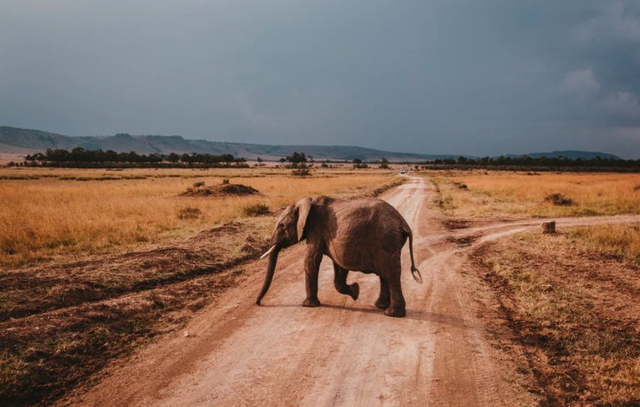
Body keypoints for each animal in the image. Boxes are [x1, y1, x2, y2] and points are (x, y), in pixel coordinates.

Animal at [255, 197, 420, 318]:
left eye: (281, 226)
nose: (258, 303)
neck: (307, 203)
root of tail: (403, 222)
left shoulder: (316, 230)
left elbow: (311, 260)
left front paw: (308, 305)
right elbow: (339, 266)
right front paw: (355, 291)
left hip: (386, 240)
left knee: (390, 274)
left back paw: (392, 314)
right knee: (384, 274)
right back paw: (380, 306)